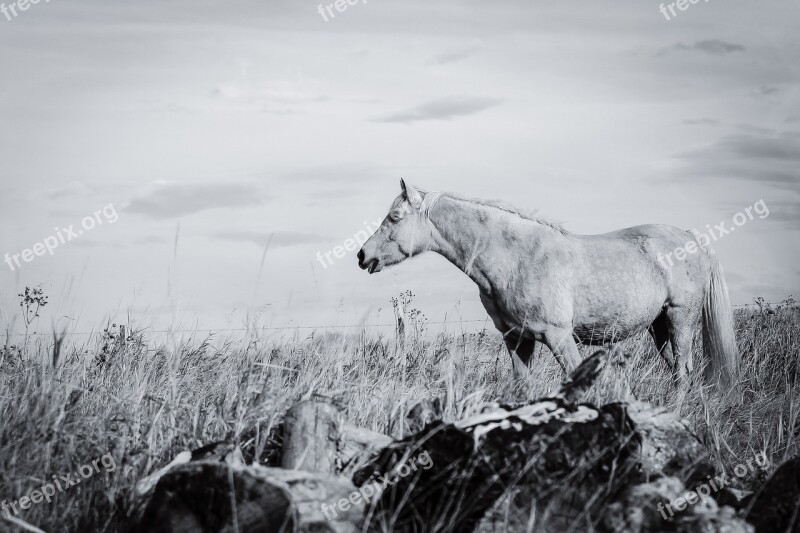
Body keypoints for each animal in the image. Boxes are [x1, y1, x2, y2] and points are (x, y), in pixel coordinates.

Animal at [360, 179, 740, 386]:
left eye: (394, 217)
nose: (363, 256)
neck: (517, 258)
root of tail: (692, 237)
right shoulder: (517, 339)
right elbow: (521, 387)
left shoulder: (559, 336)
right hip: (659, 325)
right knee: (678, 372)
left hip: (680, 319)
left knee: (682, 371)